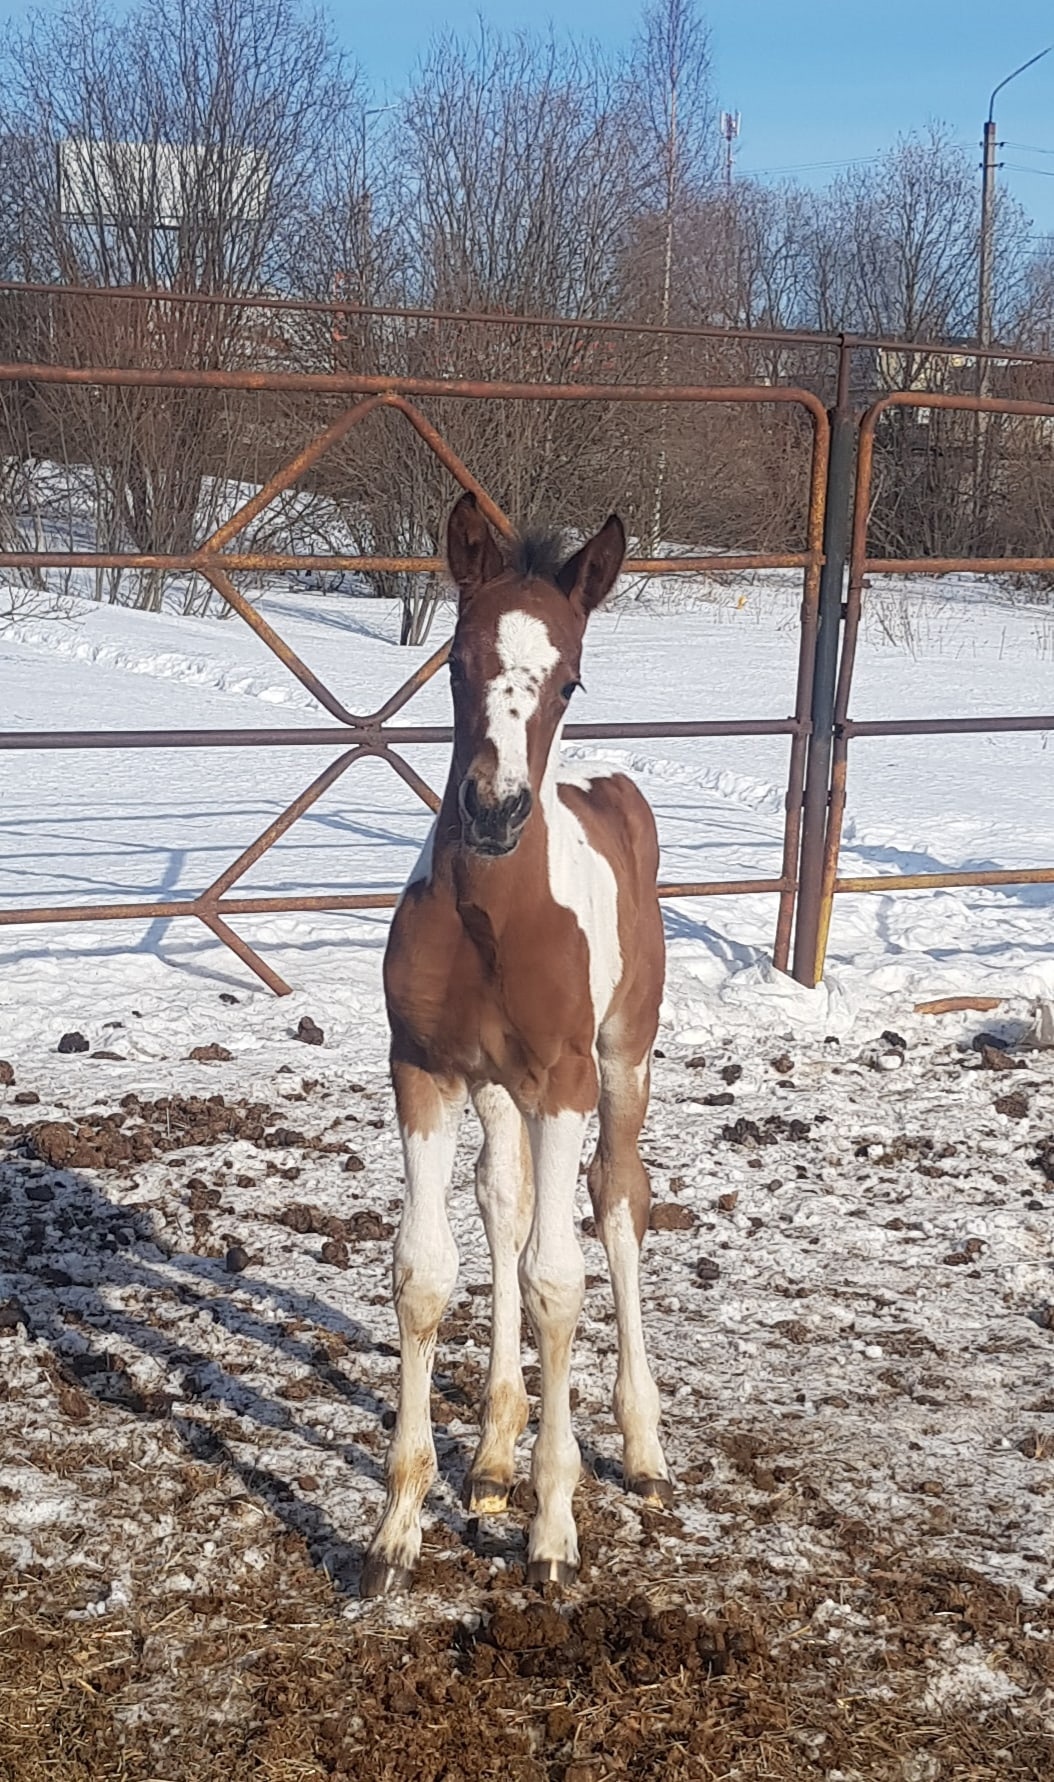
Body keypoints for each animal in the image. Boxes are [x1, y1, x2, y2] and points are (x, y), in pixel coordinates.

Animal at [363, 495, 670, 1596]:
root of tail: (606, 786)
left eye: (569, 677)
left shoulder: (568, 1078)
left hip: (623, 1062)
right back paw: (493, 1456)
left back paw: (643, 1450)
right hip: (501, 1090)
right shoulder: (423, 1069)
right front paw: (395, 1533)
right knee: (504, 1202)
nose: (494, 810)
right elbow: (426, 1271)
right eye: (457, 662)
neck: (496, 913)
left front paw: (552, 1534)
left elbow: (556, 1283)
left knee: (616, 1204)